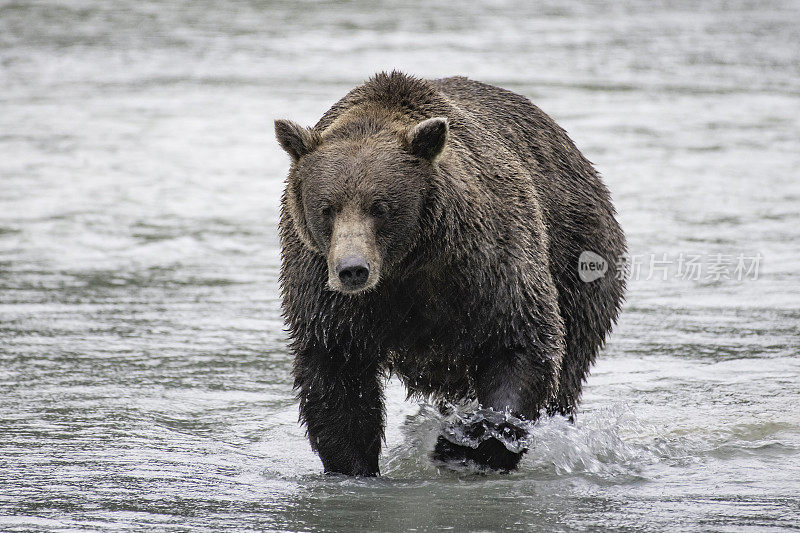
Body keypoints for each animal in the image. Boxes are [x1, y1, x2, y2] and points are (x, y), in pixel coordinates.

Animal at [276, 69, 624, 474]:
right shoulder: (325, 292)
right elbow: (336, 377)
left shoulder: (487, 265)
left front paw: (461, 445)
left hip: (579, 258)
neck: (407, 265)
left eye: (380, 207)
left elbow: (522, 346)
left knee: (568, 370)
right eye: (327, 208)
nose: (352, 269)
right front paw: (355, 465)